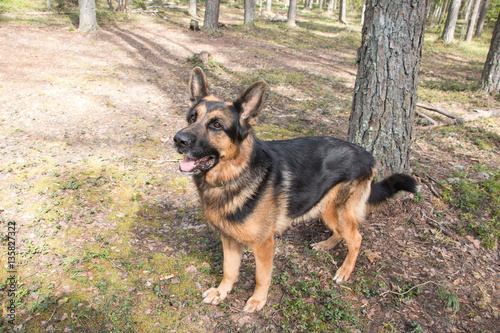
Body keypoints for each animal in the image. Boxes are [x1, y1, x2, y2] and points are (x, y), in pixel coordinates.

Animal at [174, 67, 416, 312]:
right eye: (192, 117)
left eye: (216, 125)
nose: (178, 139)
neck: (234, 174)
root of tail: (368, 155)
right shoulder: (229, 238)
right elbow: (229, 269)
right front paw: (221, 292)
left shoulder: (264, 244)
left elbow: (262, 276)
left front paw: (258, 300)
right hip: (326, 209)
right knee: (341, 234)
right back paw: (326, 245)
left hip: (338, 211)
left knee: (356, 239)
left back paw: (344, 271)